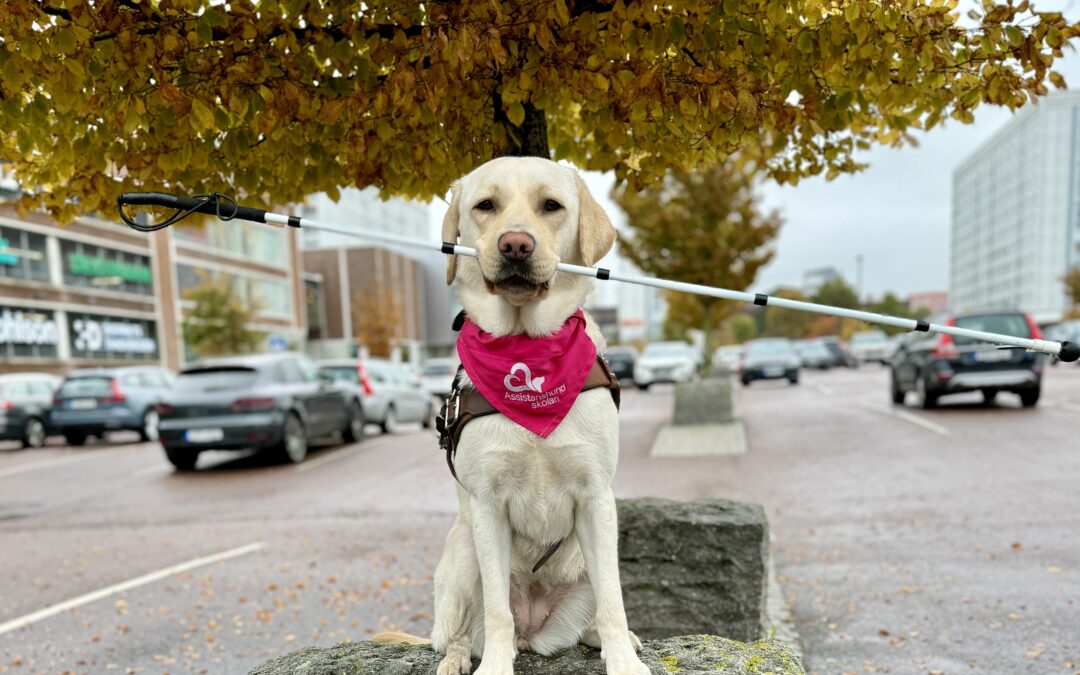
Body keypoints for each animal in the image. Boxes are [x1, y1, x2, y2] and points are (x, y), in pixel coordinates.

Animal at [429, 154, 648, 673]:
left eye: (552, 206)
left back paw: (611, 638)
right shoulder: (486, 505)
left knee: (598, 609)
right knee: (464, 631)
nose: (515, 244)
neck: (526, 348)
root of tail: (535, 633)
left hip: (587, 561)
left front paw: (623, 662)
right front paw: (494, 667)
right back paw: (459, 658)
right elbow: (496, 609)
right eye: (485, 206)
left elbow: (614, 599)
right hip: (463, 552)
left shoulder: (596, 498)